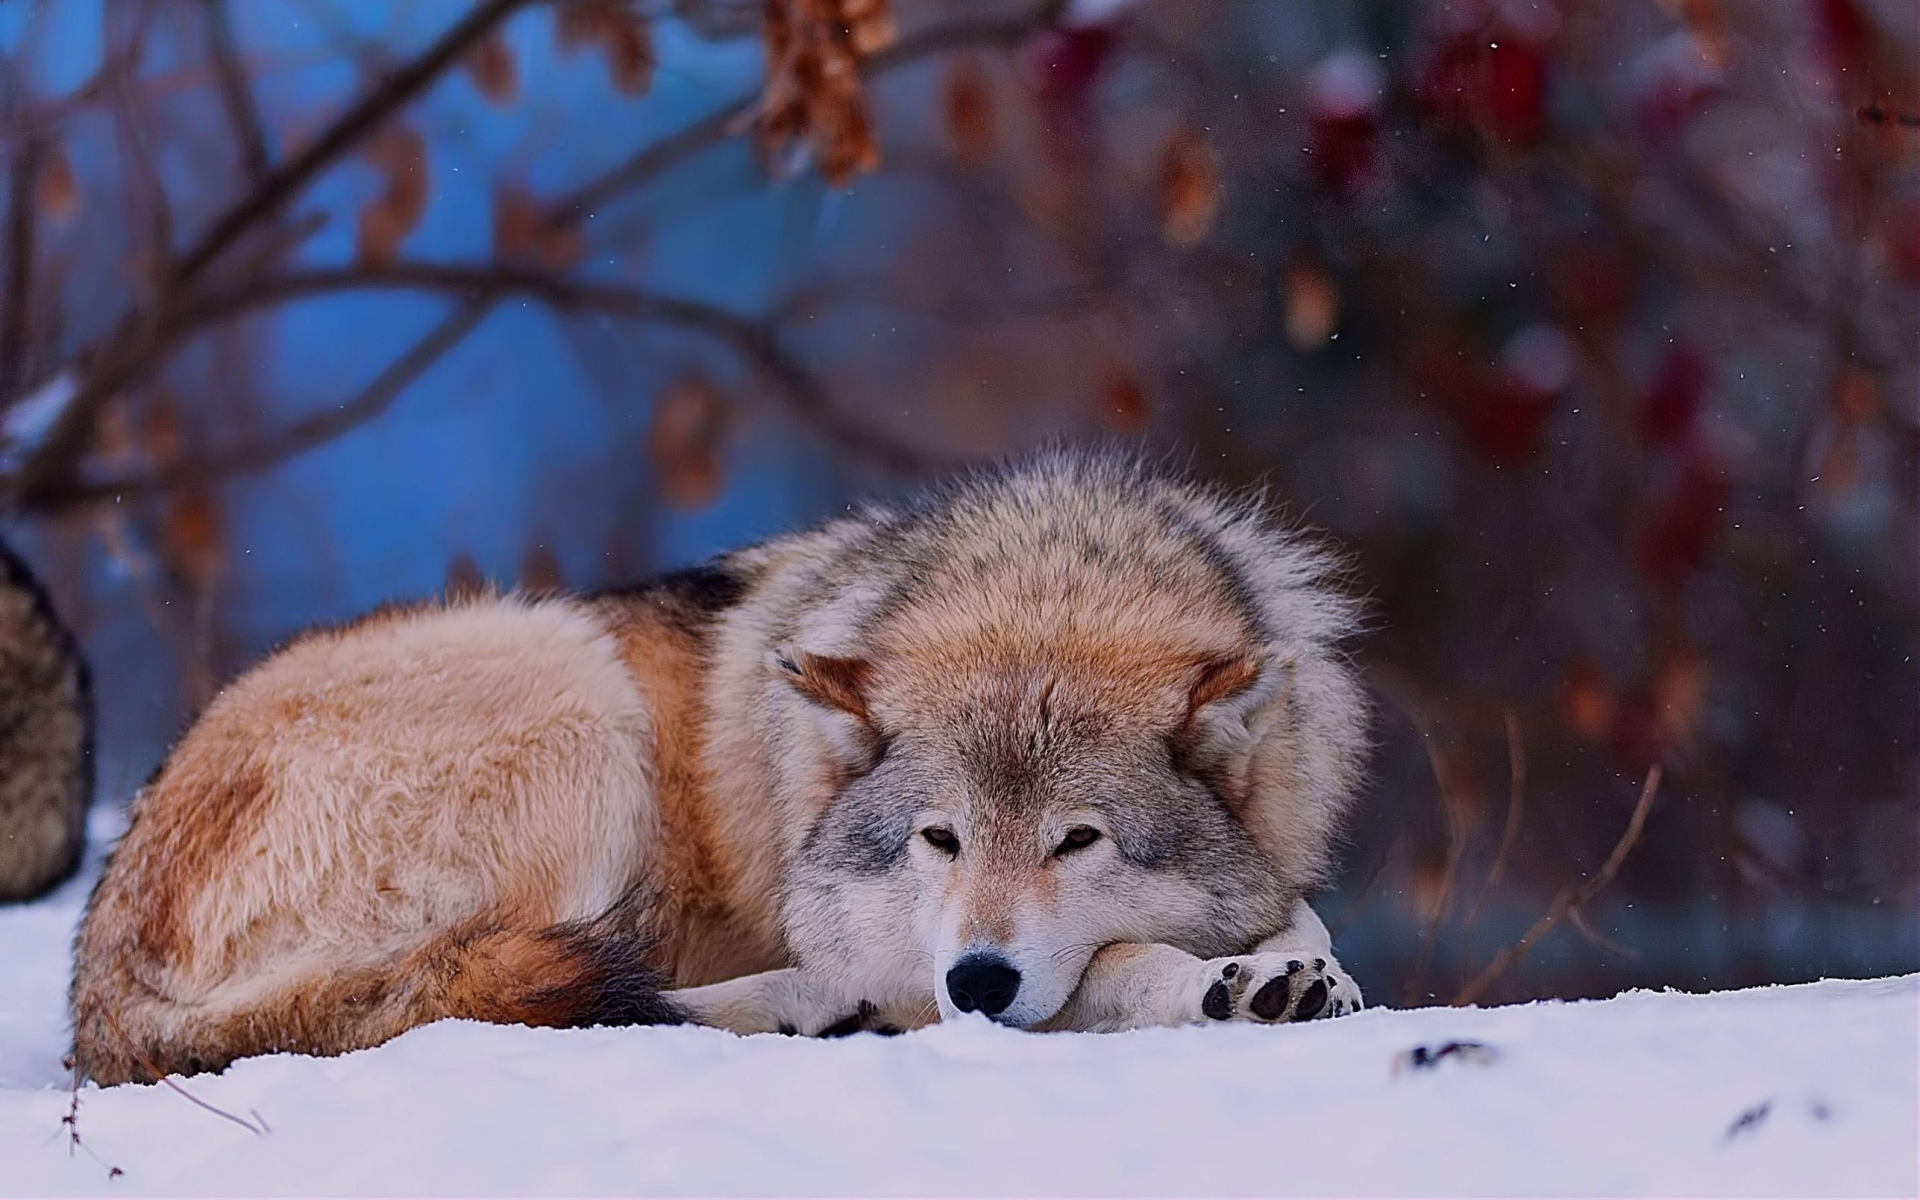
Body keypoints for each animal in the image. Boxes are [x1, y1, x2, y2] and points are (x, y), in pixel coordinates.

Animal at [70, 452, 1369, 1085]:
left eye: (1078, 840)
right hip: (575, 699)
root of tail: (97, 971)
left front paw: (1292, 969)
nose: (978, 980)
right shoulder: (911, 952)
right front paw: (1226, 985)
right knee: (516, 1000)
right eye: (938, 839)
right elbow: (1109, 966)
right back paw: (815, 1009)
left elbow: (1297, 911)